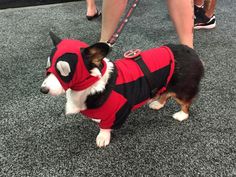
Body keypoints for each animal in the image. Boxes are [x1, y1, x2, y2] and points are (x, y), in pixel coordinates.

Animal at [40, 32, 203, 148]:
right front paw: (96, 118)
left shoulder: (119, 109)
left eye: (64, 70)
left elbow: (105, 126)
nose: (43, 90)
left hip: (182, 89)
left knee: (185, 103)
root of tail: (192, 52)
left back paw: (181, 115)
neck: (92, 83)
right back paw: (157, 104)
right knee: (165, 93)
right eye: (48, 67)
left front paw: (102, 137)